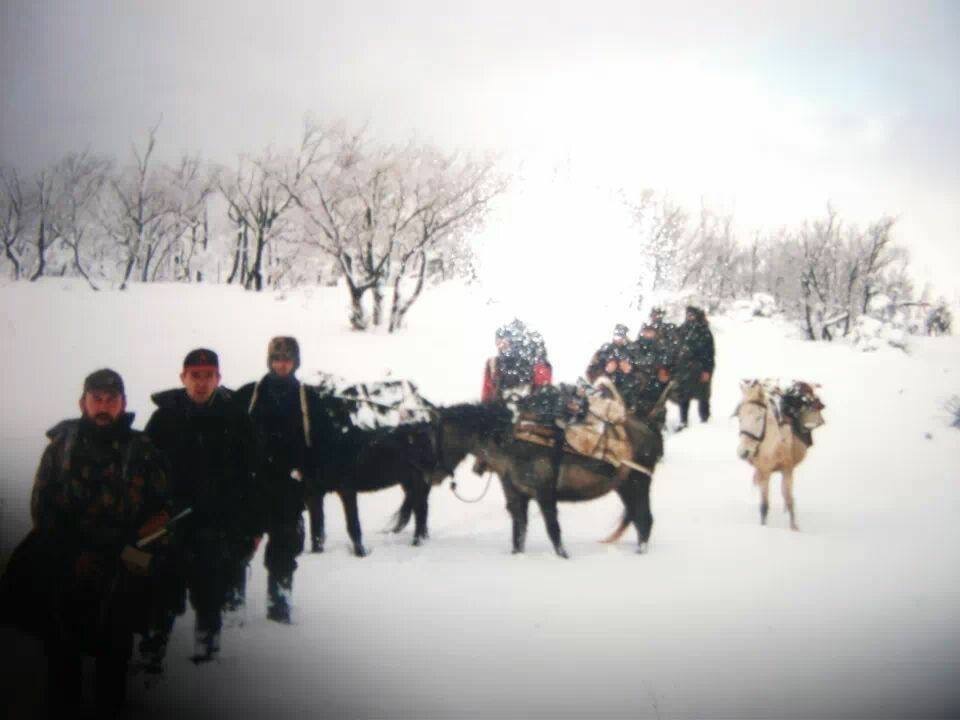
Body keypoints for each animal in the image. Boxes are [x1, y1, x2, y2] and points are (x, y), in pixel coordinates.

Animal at [434, 402, 660, 560]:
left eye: (434, 436)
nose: (434, 476)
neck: (512, 446)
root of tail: (649, 429)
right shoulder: (517, 497)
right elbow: (518, 533)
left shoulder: (545, 495)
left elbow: (553, 531)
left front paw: (564, 557)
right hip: (624, 487)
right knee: (639, 520)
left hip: (638, 483)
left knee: (645, 520)